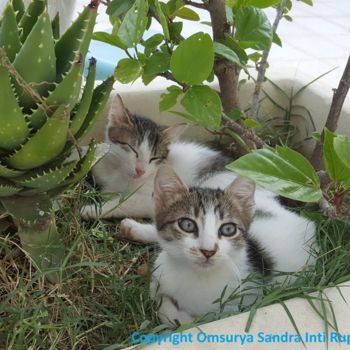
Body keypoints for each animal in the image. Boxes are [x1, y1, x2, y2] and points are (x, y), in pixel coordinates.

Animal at [150, 165, 318, 324]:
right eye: (187, 225)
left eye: (228, 229)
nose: (208, 251)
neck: (196, 275)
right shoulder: (159, 273)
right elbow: (158, 296)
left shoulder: (244, 301)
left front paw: (184, 317)